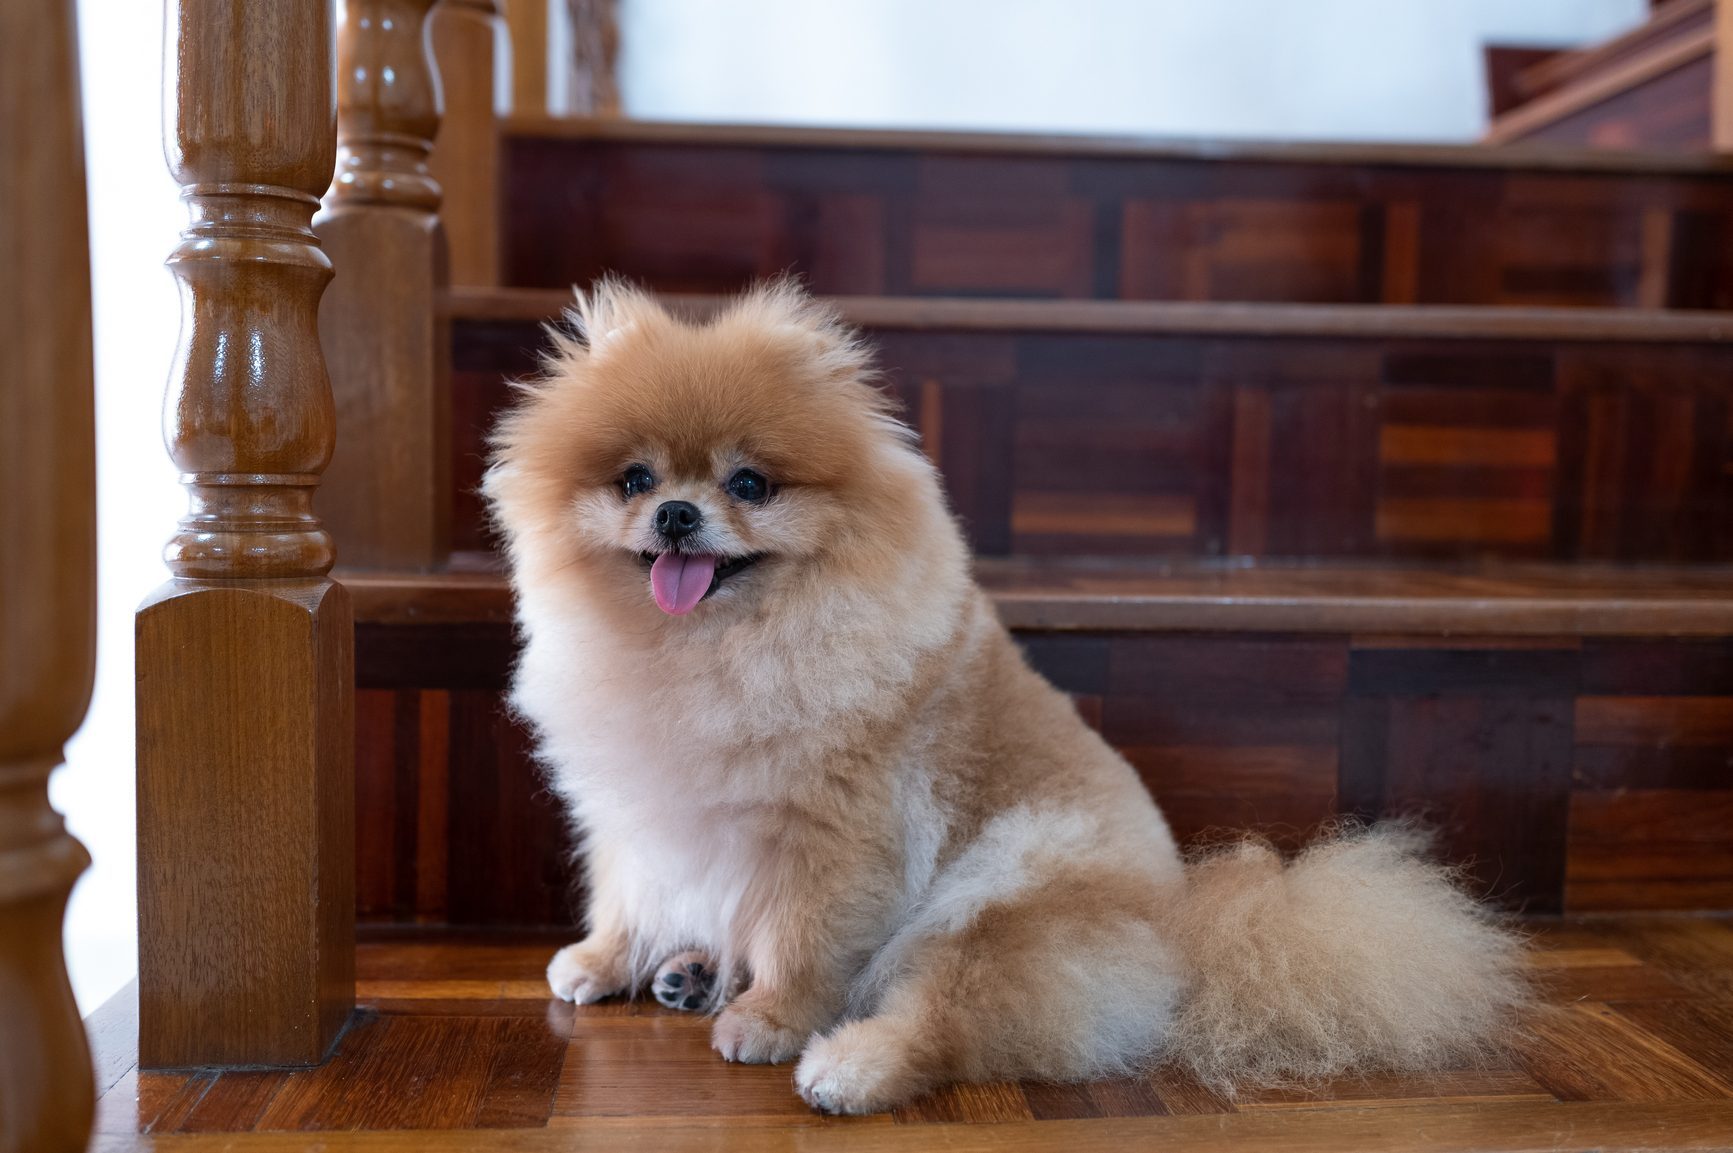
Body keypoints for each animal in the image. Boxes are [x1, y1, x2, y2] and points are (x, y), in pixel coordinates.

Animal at [481, 277, 1525, 1109]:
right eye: (634, 478)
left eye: (749, 483)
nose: (675, 513)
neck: (707, 651)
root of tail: (1184, 928)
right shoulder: (641, 807)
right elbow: (629, 890)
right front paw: (609, 959)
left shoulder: (831, 833)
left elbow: (802, 936)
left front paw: (771, 1017)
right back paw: (692, 972)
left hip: (988, 909)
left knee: (954, 1019)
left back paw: (846, 1065)